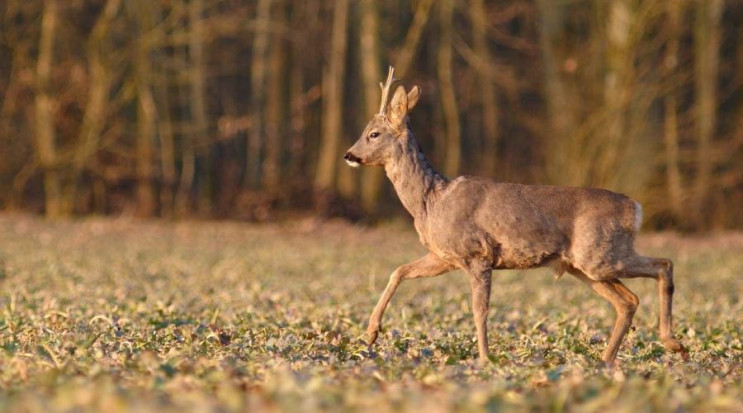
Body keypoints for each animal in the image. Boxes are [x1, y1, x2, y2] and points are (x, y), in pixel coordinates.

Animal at [342, 67, 684, 364]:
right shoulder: (444, 255)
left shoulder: (478, 253)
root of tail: (635, 208)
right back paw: (606, 360)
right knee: (628, 301)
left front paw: (484, 359)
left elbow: (480, 310)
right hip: (584, 266)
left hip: (599, 256)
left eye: (373, 134)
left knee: (663, 265)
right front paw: (370, 334)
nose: (348, 155)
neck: (431, 201)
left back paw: (672, 343)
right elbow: (398, 271)